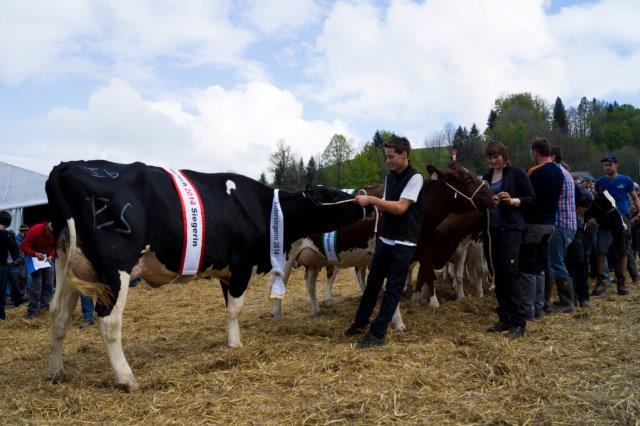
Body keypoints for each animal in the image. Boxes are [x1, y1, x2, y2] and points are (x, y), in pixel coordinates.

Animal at [44, 160, 372, 392]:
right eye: (330, 194)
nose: (364, 201)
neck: (266, 208)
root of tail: (67, 166)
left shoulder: (227, 271)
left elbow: (229, 308)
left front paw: (231, 340)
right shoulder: (241, 265)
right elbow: (236, 308)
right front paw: (236, 345)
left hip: (69, 265)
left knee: (59, 316)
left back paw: (56, 371)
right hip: (116, 268)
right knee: (108, 321)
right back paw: (126, 378)